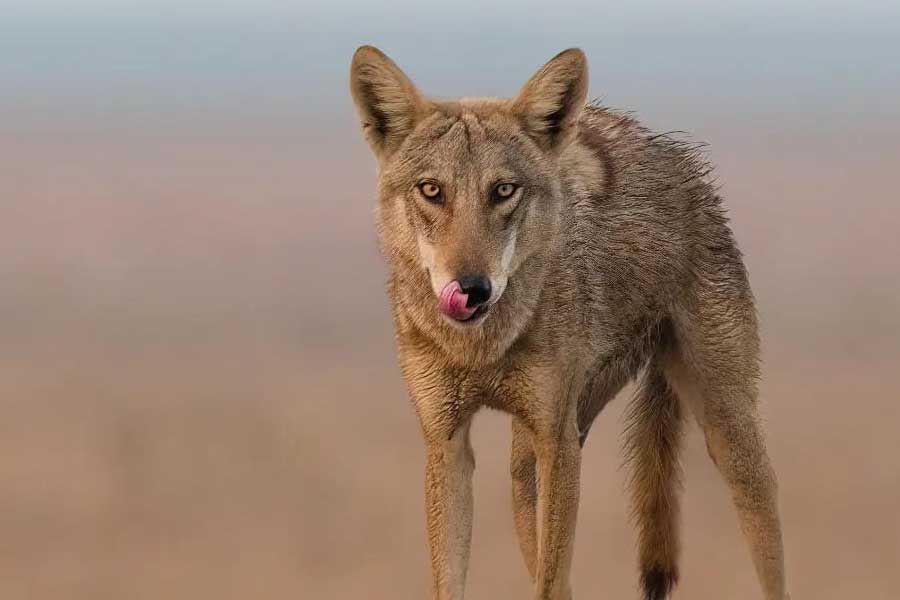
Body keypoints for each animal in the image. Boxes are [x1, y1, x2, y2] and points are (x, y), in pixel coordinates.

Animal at [349, 46, 789, 600]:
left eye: (503, 190)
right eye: (431, 190)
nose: (472, 288)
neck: (485, 344)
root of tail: (676, 155)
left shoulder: (555, 442)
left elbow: (550, 580)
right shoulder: (447, 444)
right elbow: (455, 580)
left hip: (725, 431)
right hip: (528, 470)